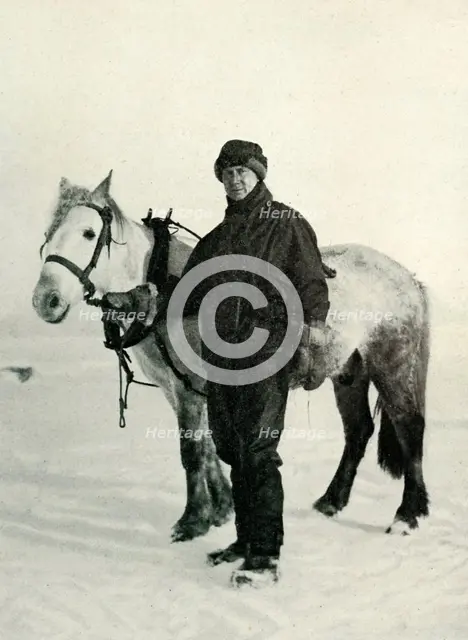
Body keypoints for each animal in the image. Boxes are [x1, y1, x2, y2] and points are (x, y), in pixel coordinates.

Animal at [32, 171, 431, 537]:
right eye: (48, 235)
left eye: (88, 233)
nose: (44, 301)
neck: (169, 292)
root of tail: (407, 276)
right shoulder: (181, 389)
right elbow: (208, 448)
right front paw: (222, 508)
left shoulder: (191, 389)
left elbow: (192, 452)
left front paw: (193, 520)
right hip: (348, 371)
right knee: (358, 430)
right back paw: (332, 501)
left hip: (392, 363)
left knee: (409, 426)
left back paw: (407, 515)